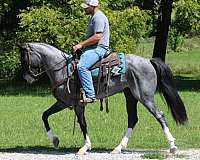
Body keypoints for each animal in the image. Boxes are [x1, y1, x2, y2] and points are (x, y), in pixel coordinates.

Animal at [18, 42, 188, 155]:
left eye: (25, 59)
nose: (27, 78)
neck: (63, 70)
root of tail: (148, 61)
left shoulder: (78, 105)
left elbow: (83, 124)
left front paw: (85, 147)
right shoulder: (63, 102)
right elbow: (45, 115)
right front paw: (54, 140)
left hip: (145, 97)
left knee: (160, 115)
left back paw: (172, 146)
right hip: (130, 96)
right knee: (133, 119)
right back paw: (119, 148)